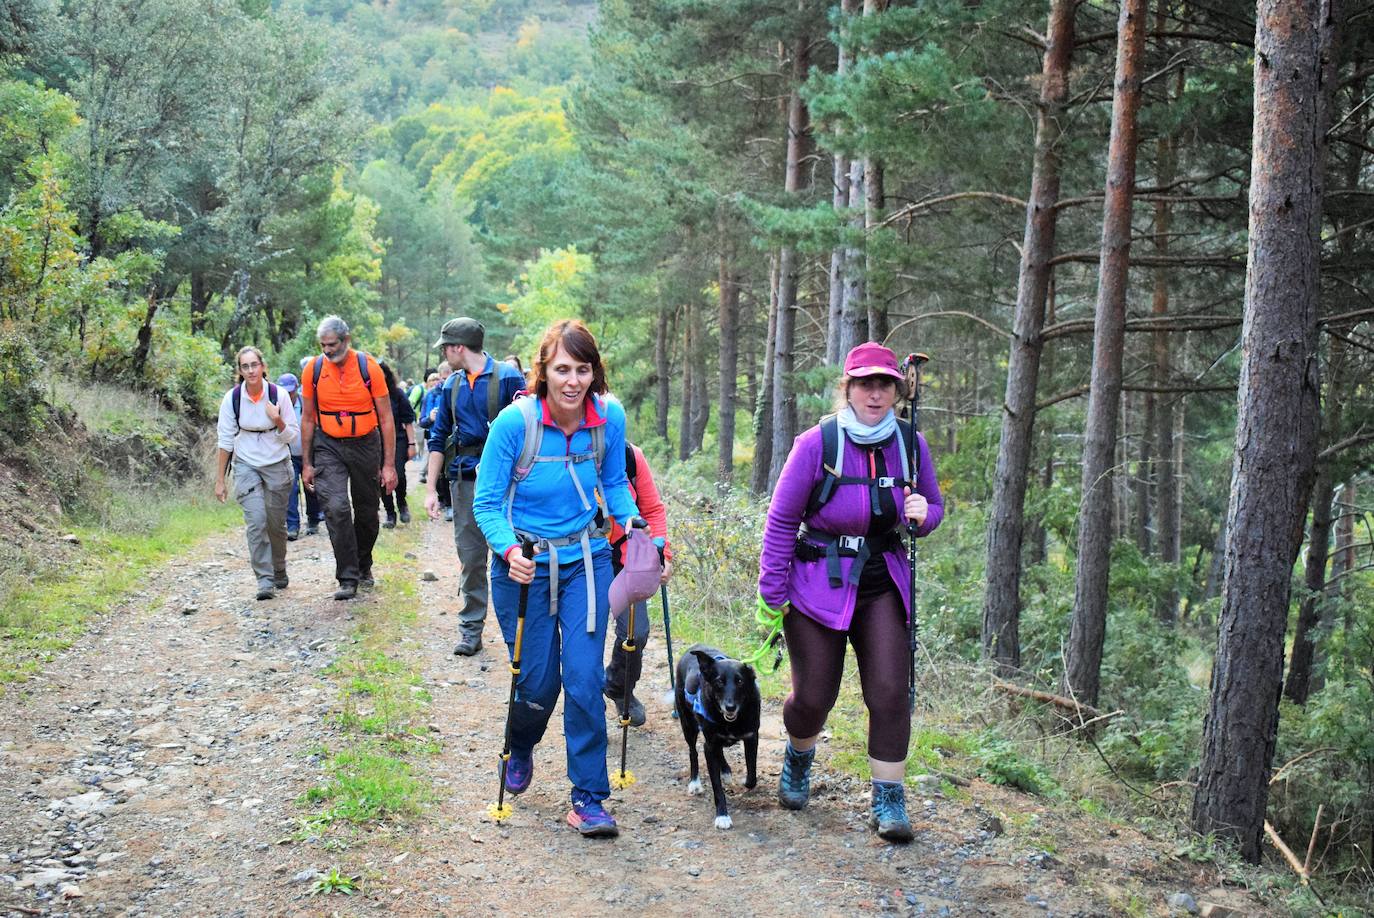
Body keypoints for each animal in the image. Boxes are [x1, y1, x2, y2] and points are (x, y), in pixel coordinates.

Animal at [676, 643, 763, 830]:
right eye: (719, 682)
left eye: (740, 681)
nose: (730, 707)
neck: (731, 721)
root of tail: (695, 646)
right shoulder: (709, 746)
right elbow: (717, 787)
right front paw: (722, 816)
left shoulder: (752, 737)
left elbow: (752, 774)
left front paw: (744, 782)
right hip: (688, 724)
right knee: (693, 752)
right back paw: (695, 782)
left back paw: (725, 770)